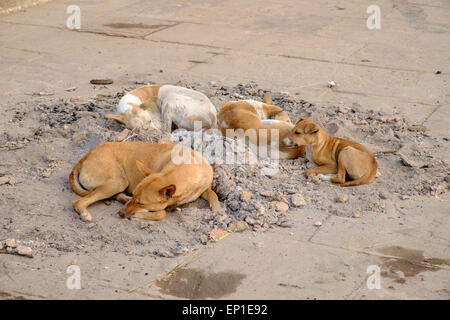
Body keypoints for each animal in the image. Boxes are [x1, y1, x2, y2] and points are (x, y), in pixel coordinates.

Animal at [68, 142, 220, 222]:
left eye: (140, 203)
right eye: (135, 196)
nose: (120, 214)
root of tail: (84, 157)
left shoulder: (204, 187)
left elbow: (213, 194)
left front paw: (216, 209)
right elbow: (161, 213)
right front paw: (140, 215)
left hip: (117, 183)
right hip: (118, 182)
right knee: (78, 202)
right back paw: (84, 213)